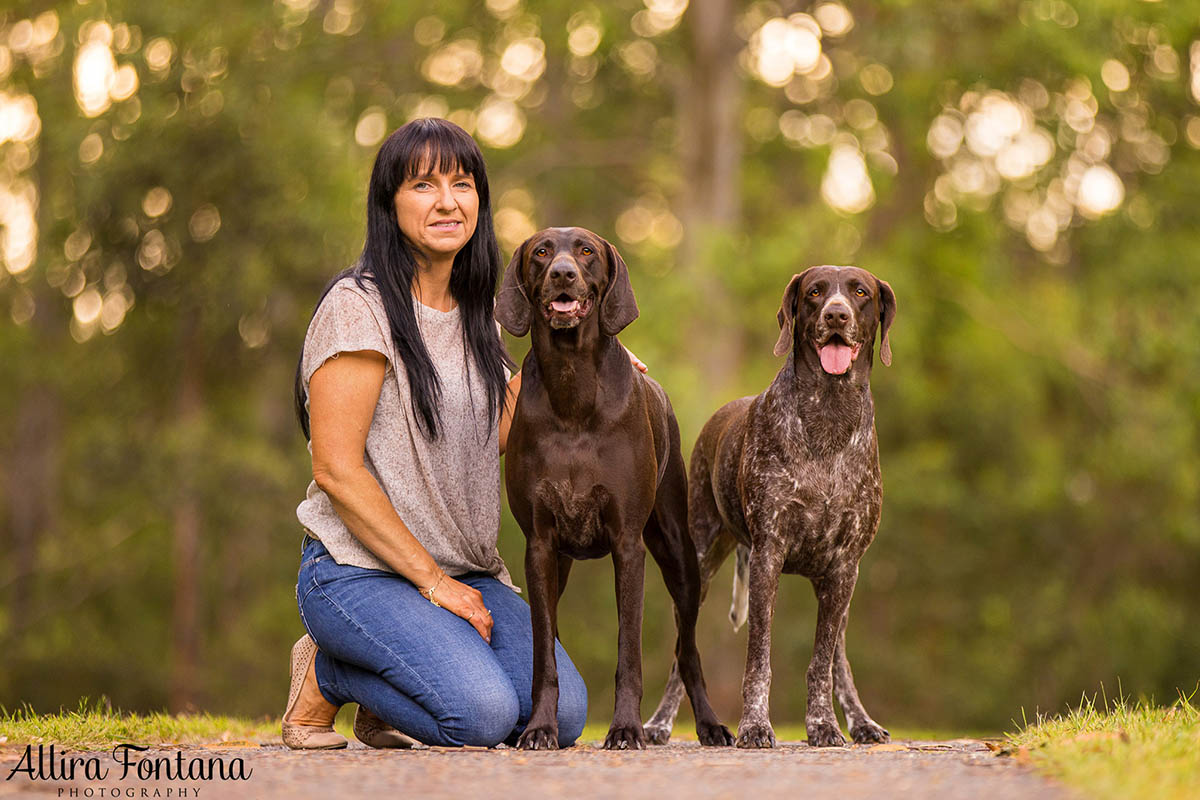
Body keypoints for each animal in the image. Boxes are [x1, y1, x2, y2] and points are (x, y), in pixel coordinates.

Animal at [494, 225, 729, 753]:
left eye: (585, 251)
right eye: (541, 252)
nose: (563, 274)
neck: (572, 385)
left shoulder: (628, 546)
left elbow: (630, 655)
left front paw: (624, 728)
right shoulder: (540, 547)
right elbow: (544, 657)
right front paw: (540, 728)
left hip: (679, 555)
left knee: (688, 652)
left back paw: (711, 725)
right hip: (562, 566)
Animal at [648, 266, 892, 748]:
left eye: (860, 292)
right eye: (815, 292)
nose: (836, 315)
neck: (829, 413)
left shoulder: (844, 569)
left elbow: (822, 663)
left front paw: (824, 724)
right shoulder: (768, 557)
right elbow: (758, 661)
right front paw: (756, 726)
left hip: (838, 591)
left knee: (839, 660)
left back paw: (861, 721)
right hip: (697, 568)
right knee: (681, 653)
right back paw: (659, 724)